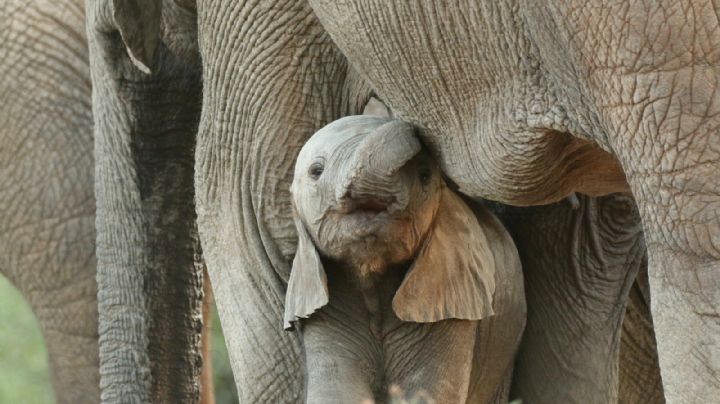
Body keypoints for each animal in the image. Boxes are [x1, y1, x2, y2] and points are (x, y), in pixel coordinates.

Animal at [285, 115, 525, 402]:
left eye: (425, 177)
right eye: (316, 171)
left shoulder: (451, 306)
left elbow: (427, 392)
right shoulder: (325, 309)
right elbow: (336, 393)